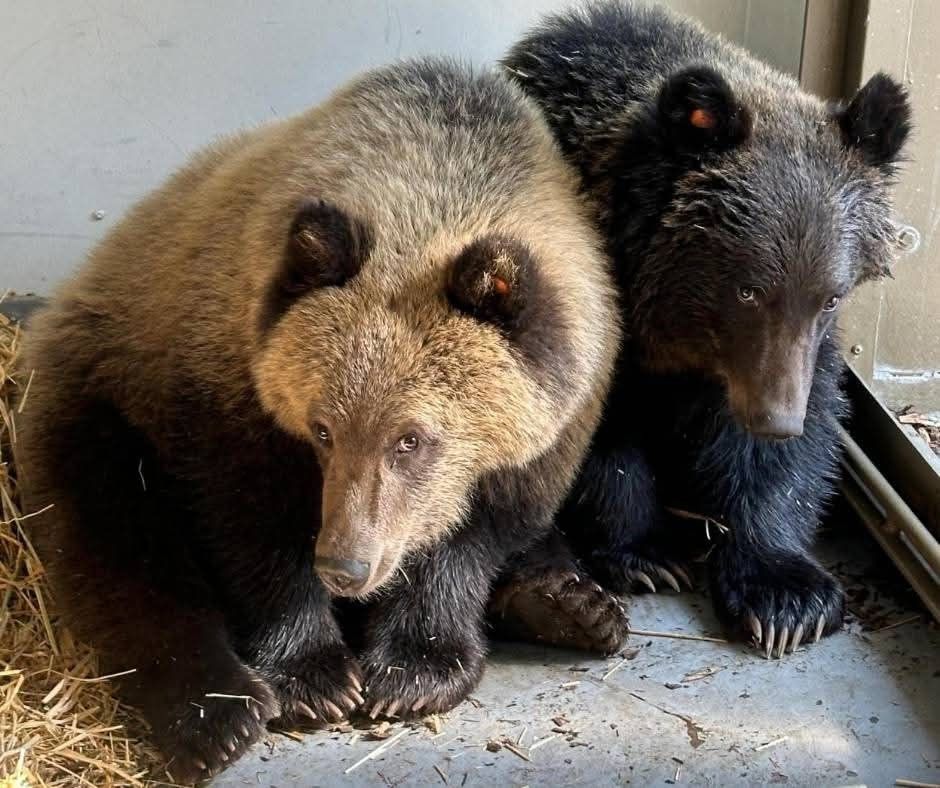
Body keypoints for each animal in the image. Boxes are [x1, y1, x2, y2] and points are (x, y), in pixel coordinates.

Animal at [16, 59, 626, 782]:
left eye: (411, 439)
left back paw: (572, 605)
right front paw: (314, 677)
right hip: (95, 395)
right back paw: (216, 713)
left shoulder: (548, 430)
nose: (346, 566)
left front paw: (413, 670)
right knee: (119, 542)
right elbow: (253, 529)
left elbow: (473, 540)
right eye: (324, 429)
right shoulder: (227, 389)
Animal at [503, 1, 912, 658]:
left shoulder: (797, 353)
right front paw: (648, 553)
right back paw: (557, 599)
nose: (777, 419)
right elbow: (589, 438)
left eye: (830, 296)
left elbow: (796, 450)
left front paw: (786, 598)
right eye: (747, 289)